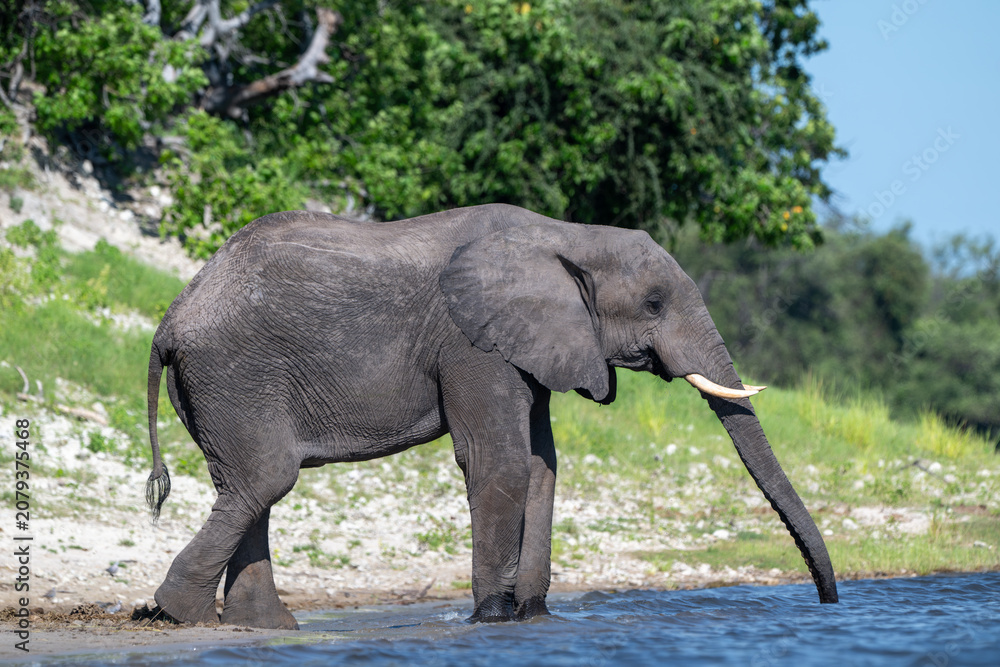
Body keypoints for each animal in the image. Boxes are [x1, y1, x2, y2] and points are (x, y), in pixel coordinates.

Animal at [144, 203, 838, 629]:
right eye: (654, 303)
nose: (829, 602)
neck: (566, 234)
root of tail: (173, 314)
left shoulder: (536, 344)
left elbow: (542, 466)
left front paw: (530, 617)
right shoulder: (470, 341)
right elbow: (498, 461)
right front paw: (491, 620)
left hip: (218, 385)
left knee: (249, 486)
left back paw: (261, 626)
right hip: (235, 373)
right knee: (266, 478)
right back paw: (178, 614)